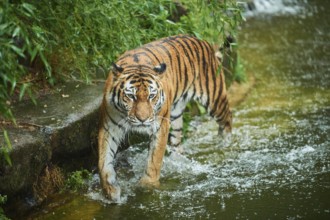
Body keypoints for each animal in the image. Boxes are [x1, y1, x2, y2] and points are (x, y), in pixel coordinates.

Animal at [98, 34, 232, 201]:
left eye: (151, 96)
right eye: (131, 96)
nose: (142, 119)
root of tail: (203, 41)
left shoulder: (160, 126)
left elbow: (154, 160)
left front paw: (147, 185)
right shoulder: (109, 127)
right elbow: (103, 161)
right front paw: (110, 190)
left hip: (215, 99)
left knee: (227, 120)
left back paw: (225, 144)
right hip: (176, 114)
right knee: (178, 141)